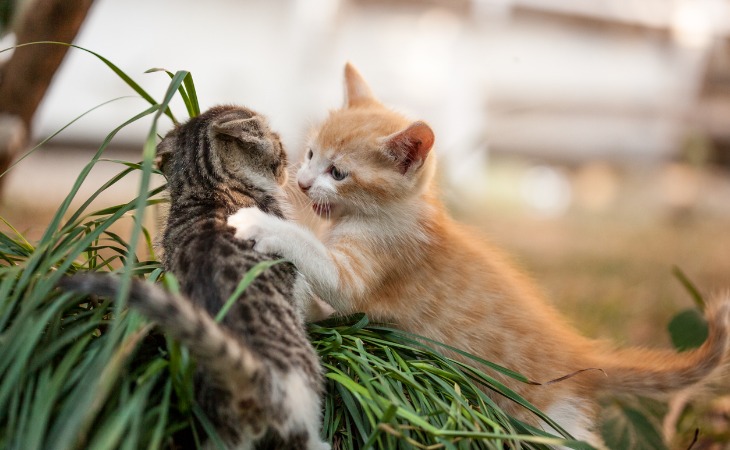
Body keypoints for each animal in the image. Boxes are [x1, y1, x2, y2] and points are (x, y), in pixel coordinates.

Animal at [229, 63, 728, 446]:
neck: (395, 212)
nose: (303, 182)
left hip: (549, 417)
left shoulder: (367, 266)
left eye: (338, 173)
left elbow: (322, 265)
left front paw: (262, 223)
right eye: (311, 154)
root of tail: (577, 353)